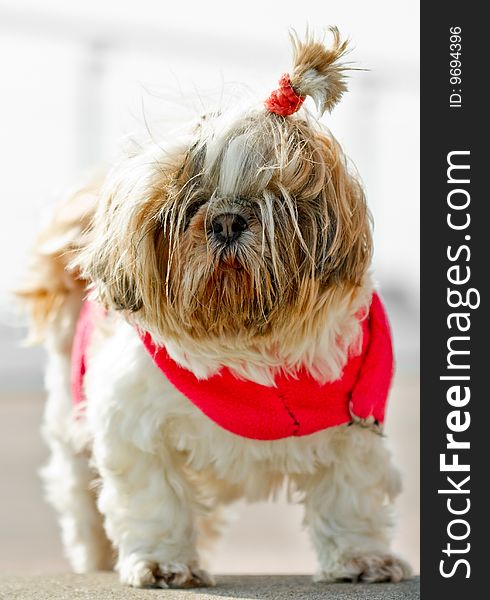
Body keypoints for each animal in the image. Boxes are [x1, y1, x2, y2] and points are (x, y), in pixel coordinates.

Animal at [17, 30, 412, 588]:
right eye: (186, 205)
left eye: (274, 200)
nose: (225, 220)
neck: (248, 354)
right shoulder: (135, 426)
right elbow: (155, 499)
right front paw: (162, 562)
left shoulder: (353, 417)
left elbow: (349, 495)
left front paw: (360, 559)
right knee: (81, 499)